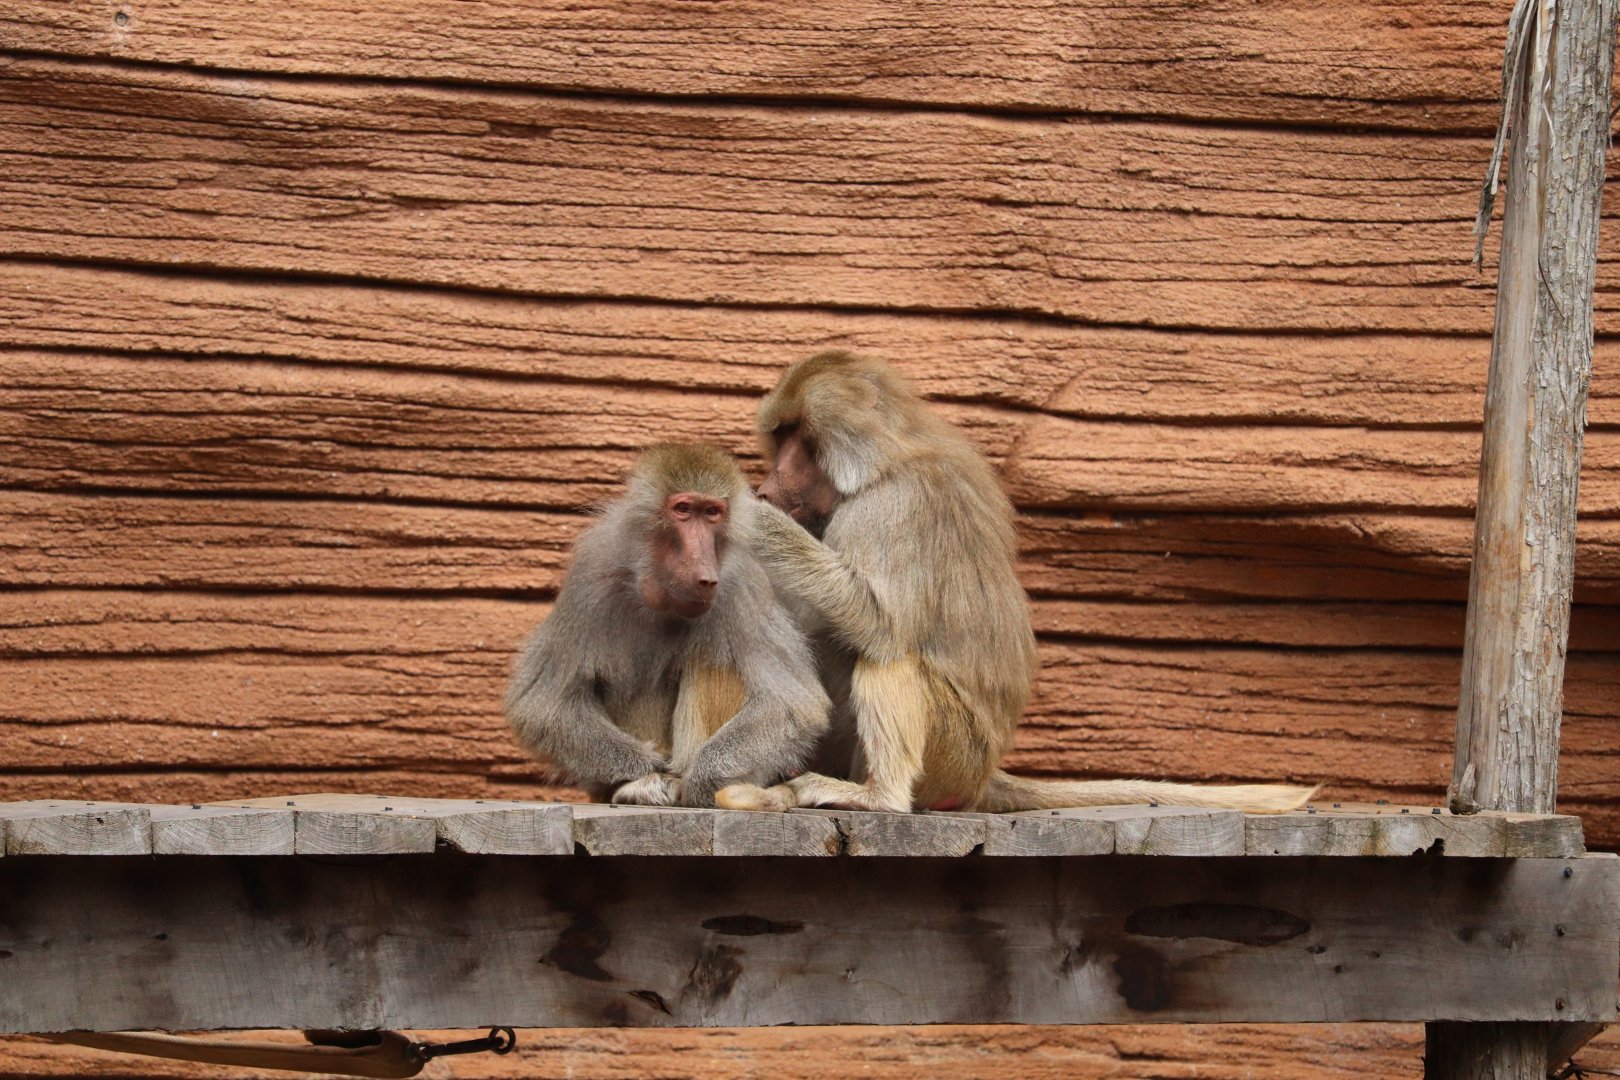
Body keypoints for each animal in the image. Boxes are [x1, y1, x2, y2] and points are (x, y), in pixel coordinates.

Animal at [505, 443, 830, 809]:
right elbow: (543, 706)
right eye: (683, 510)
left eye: (712, 513)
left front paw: (700, 783)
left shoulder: (742, 587)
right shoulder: (591, 577)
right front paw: (648, 775)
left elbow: (794, 706)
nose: (704, 571)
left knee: (713, 661)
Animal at [716, 351, 1317, 815]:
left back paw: (875, 797)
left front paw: (752, 515)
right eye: (780, 438)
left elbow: (877, 619)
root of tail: (983, 778)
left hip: (955, 757)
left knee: (888, 654)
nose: (769, 484)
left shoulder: (897, 507)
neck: (883, 459)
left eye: (798, 439)